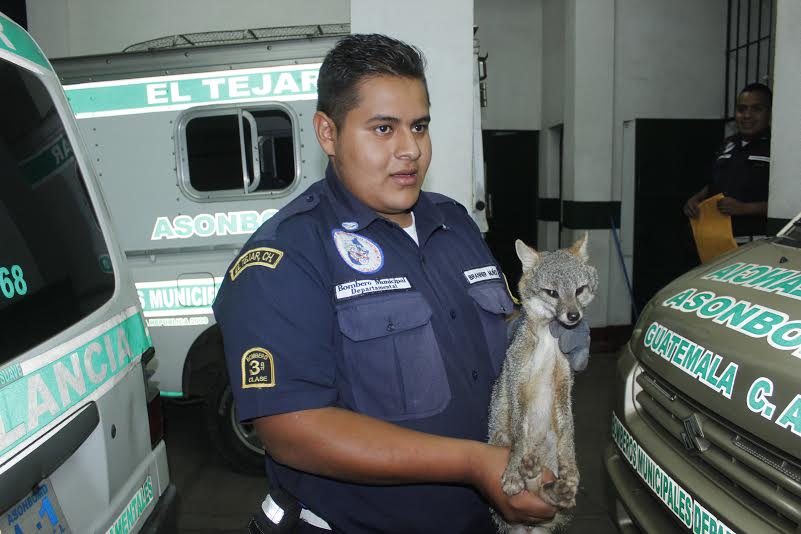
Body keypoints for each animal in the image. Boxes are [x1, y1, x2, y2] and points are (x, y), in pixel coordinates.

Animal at [488, 237, 592, 532]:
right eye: (552, 293)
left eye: (579, 290)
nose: (573, 316)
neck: (547, 339)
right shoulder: (517, 380)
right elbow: (519, 433)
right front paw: (513, 471)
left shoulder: (564, 385)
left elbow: (568, 431)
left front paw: (572, 469)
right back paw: (528, 471)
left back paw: (555, 487)